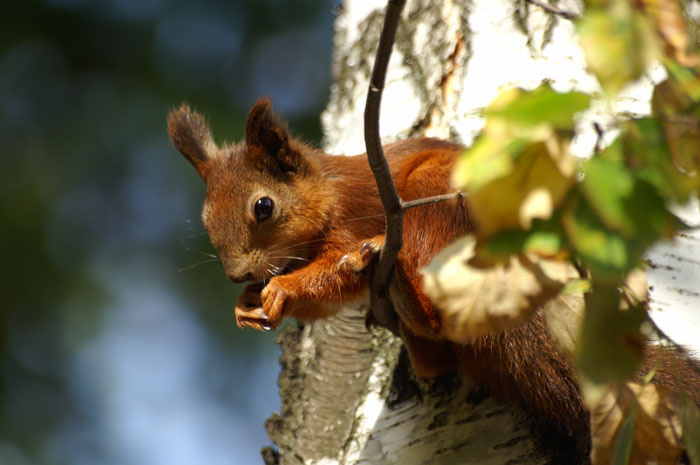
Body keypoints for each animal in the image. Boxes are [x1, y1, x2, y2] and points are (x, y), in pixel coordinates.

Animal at [168, 98, 700, 464]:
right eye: (206, 218)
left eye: (263, 207)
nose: (237, 273)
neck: (327, 193)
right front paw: (247, 303)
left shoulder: (352, 222)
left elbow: (333, 274)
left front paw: (280, 289)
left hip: (434, 208)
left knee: (430, 304)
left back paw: (405, 298)